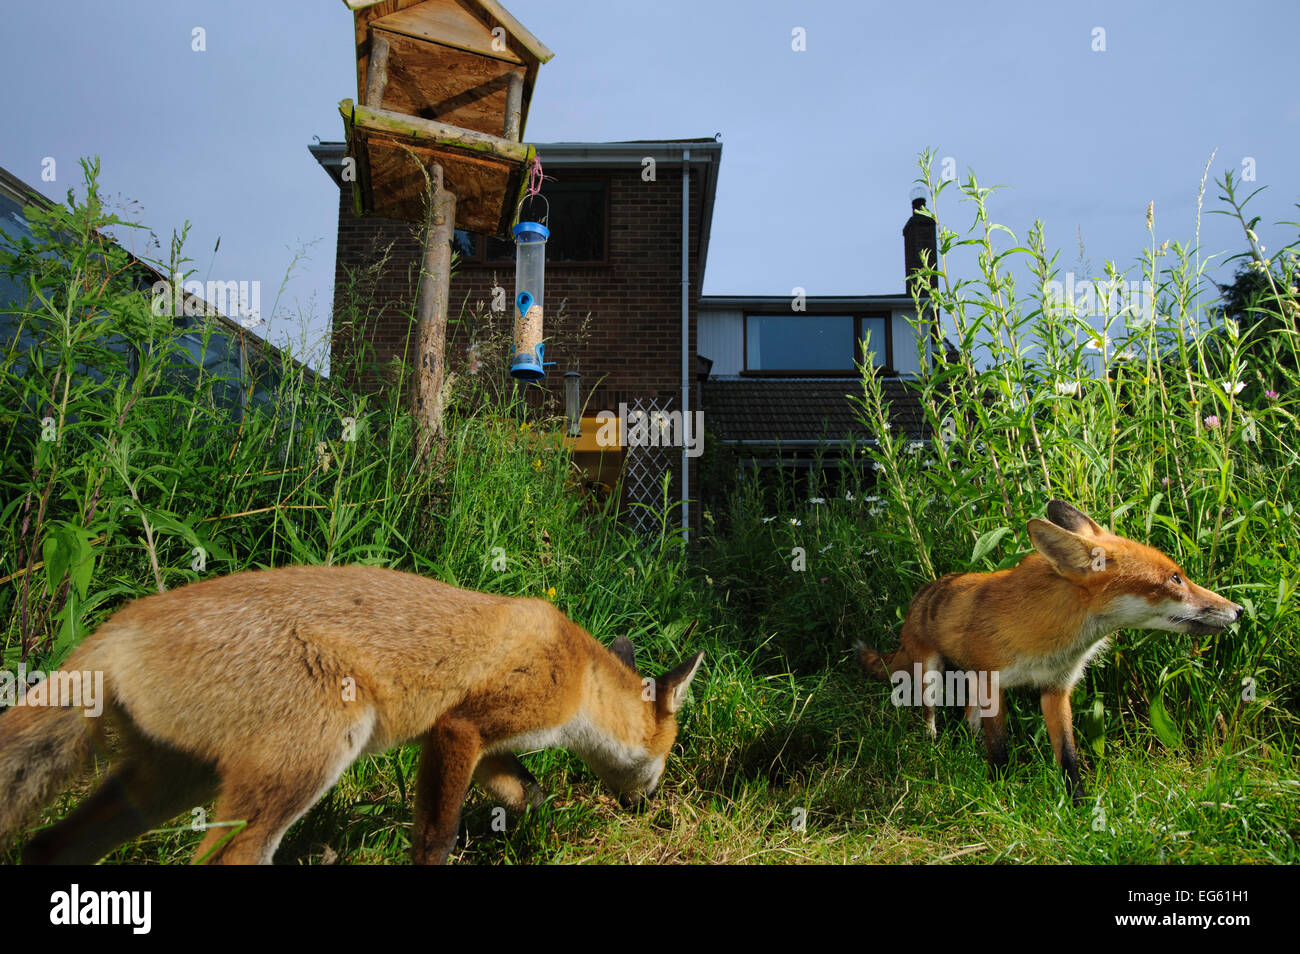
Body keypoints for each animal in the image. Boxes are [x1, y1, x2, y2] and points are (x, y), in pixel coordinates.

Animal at [0, 566, 707, 868]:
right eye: (666, 757)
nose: (652, 806)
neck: (578, 674)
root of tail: (116, 629)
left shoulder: (471, 736)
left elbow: (522, 790)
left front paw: (537, 818)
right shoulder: (459, 730)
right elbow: (436, 838)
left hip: (167, 786)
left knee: (46, 846)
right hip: (314, 751)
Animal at [857, 504, 1242, 805]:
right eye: (1175, 579)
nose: (1238, 610)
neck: (1048, 638)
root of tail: (922, 594)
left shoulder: (1056, 688)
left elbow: (1068, 756)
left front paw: (1079, 805)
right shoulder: (994, 684)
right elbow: (1000, 749)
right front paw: (1001, 793)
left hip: (969, 681)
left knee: (968, 717)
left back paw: (968, 745)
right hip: (930, 675)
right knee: (931, 717)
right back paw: (936, 749)